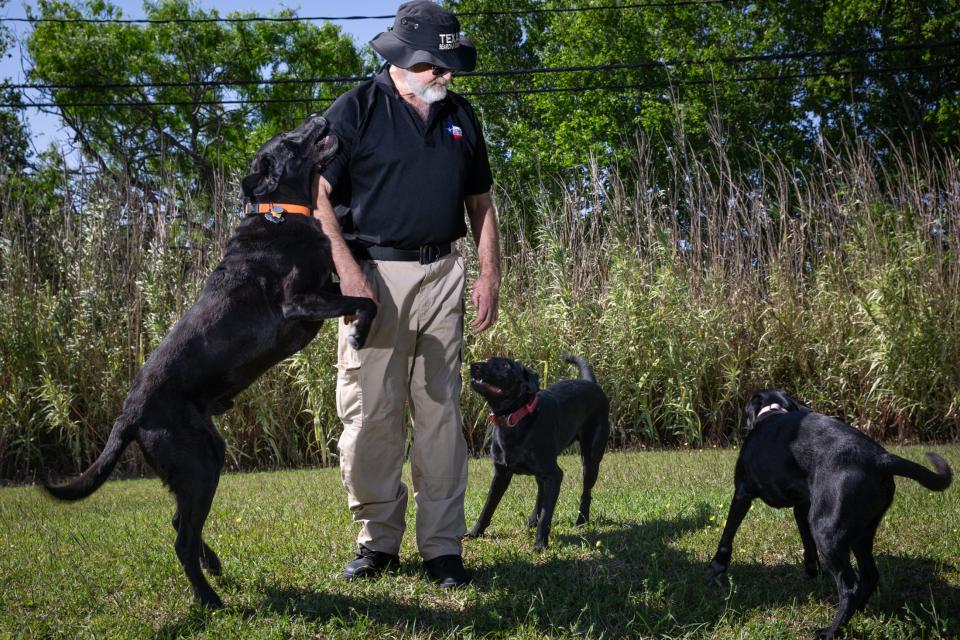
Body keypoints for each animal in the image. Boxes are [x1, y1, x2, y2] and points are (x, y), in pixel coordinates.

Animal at [45, 112, 376, 608]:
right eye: (288, 141)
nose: (320, 116)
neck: (282, 211)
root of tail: (127, 415)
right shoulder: (299, 303)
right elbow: (364, 301)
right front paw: (360, 331)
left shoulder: (324, 289)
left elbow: (356, 291)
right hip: (196, 462)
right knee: (181, 537)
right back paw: (209, 599)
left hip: (206, 454)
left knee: (179, 521)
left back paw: (214, 566)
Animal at [464, 356, 608, 552]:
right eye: (488, 359)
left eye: (505, 365)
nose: (474, 366)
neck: (514, 419)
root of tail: (590, 383)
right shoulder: (501, 474)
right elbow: (487, 508)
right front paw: (474, 533)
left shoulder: (555, 475)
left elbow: (547, 516)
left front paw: (540, 544)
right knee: (541, 491)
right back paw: (533, 519)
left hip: (590, 460)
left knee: (586, 492)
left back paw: (581, 520)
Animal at [704, 388, 952, 636]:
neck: (774, 411)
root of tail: (880, 459)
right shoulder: (802, 507)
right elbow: (807, 543)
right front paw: (812, 571)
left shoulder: (742, 493)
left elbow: (728, 533)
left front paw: (717, 566)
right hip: (860, 531)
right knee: (869, 575)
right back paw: (858, 610)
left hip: (827, 530)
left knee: (850, 586)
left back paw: (830, 630)